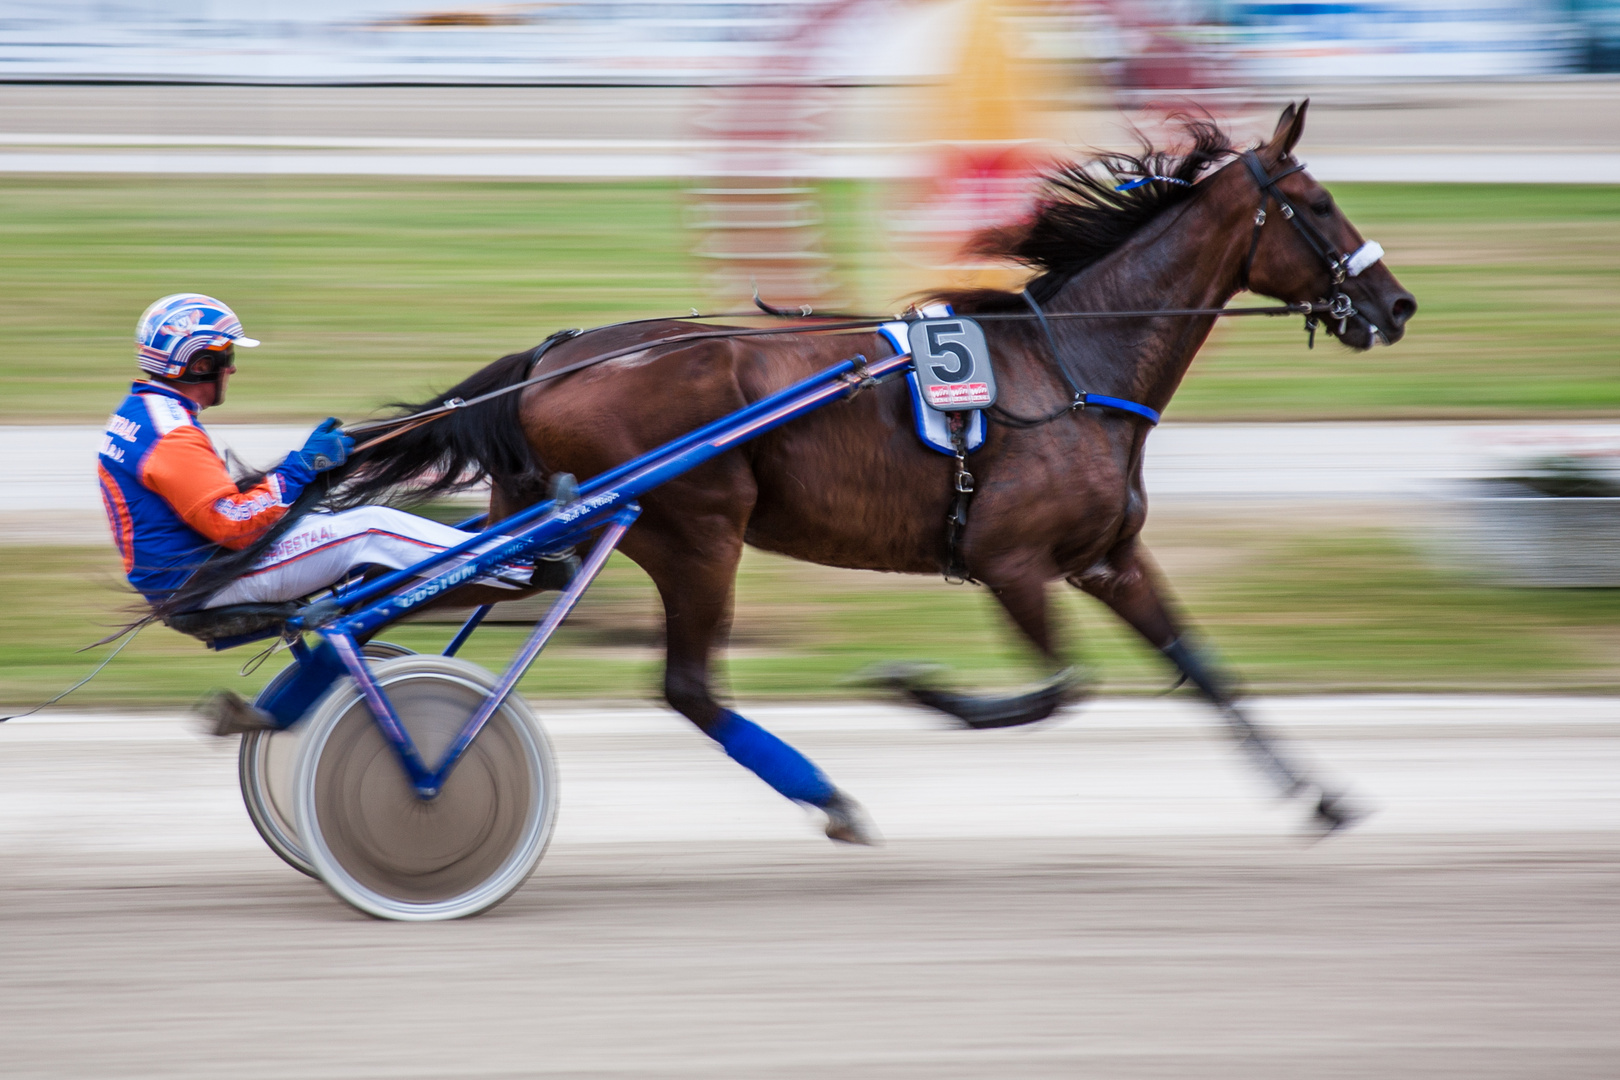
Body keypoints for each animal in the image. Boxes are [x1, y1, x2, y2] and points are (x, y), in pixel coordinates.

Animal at [252, 103, 1419, 835]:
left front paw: (1322, 796)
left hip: (569, 525)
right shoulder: (1011, 560)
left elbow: (1207, 671)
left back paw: (283, 686)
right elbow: (1057, 688)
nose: (1397, 303)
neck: (1074, 366)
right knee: (686, 685)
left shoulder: (1107, 557)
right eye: (1318, 204)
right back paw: (828, 800)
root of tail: (560, 352)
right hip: (694, 529)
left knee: (460, 579)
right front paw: (919, 688)